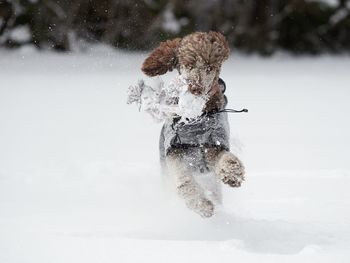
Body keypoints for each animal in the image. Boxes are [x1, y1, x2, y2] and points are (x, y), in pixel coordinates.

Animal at [141, 32, 245, 219]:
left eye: (209, 68)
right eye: (188, 65)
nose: (195, 88)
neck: (196, 121)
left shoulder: (214, 144)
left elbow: (226, 158)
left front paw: (233, 174)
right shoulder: (174, 150)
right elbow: (184, 180)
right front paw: (201, 204)